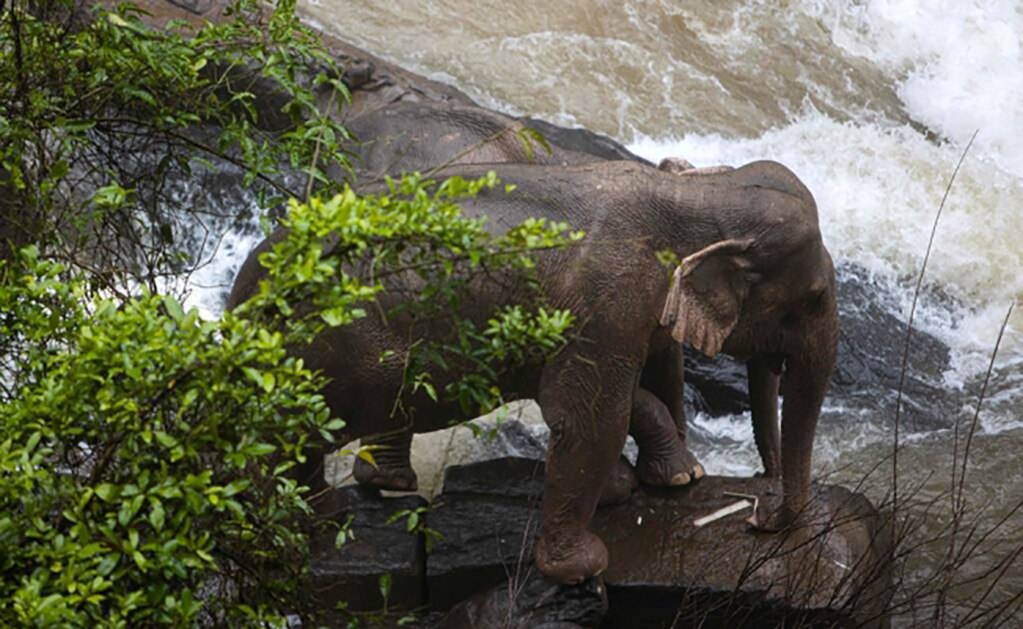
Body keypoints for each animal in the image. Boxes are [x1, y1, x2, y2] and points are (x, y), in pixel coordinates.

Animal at [227, 158, 839, 584]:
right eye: (812, 297)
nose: (758, 516)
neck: (696, 196)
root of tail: (242, 292)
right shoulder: (608, 300)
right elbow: (588, 417)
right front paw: (585, 566)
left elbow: (623, 392)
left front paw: (656, 482)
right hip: (338, 348)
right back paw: (306, 523)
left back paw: (353, 499)